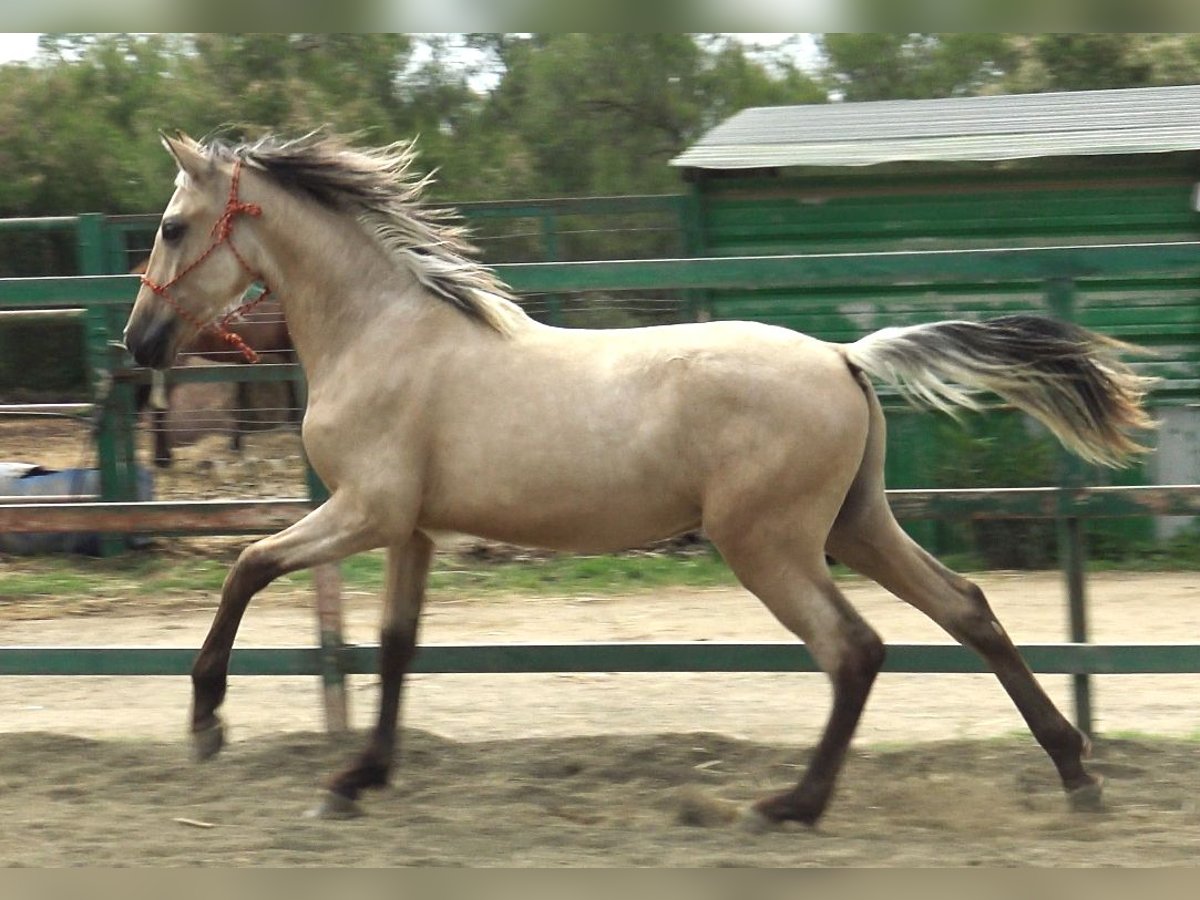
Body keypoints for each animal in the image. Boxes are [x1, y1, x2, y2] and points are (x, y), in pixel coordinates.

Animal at [121, 130, 1152, 830]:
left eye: (171, 226)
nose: (138, 343)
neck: (383, 333)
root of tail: (844, 355)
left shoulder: (365, 512)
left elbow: (249, 565)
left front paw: (208, 722)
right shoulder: (409, 528)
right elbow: (396, 645)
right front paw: (355, 780)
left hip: (770, 543)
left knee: (853, 649)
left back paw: (787, 805)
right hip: (856, 525)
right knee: (967, 609)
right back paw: (1076, 773)